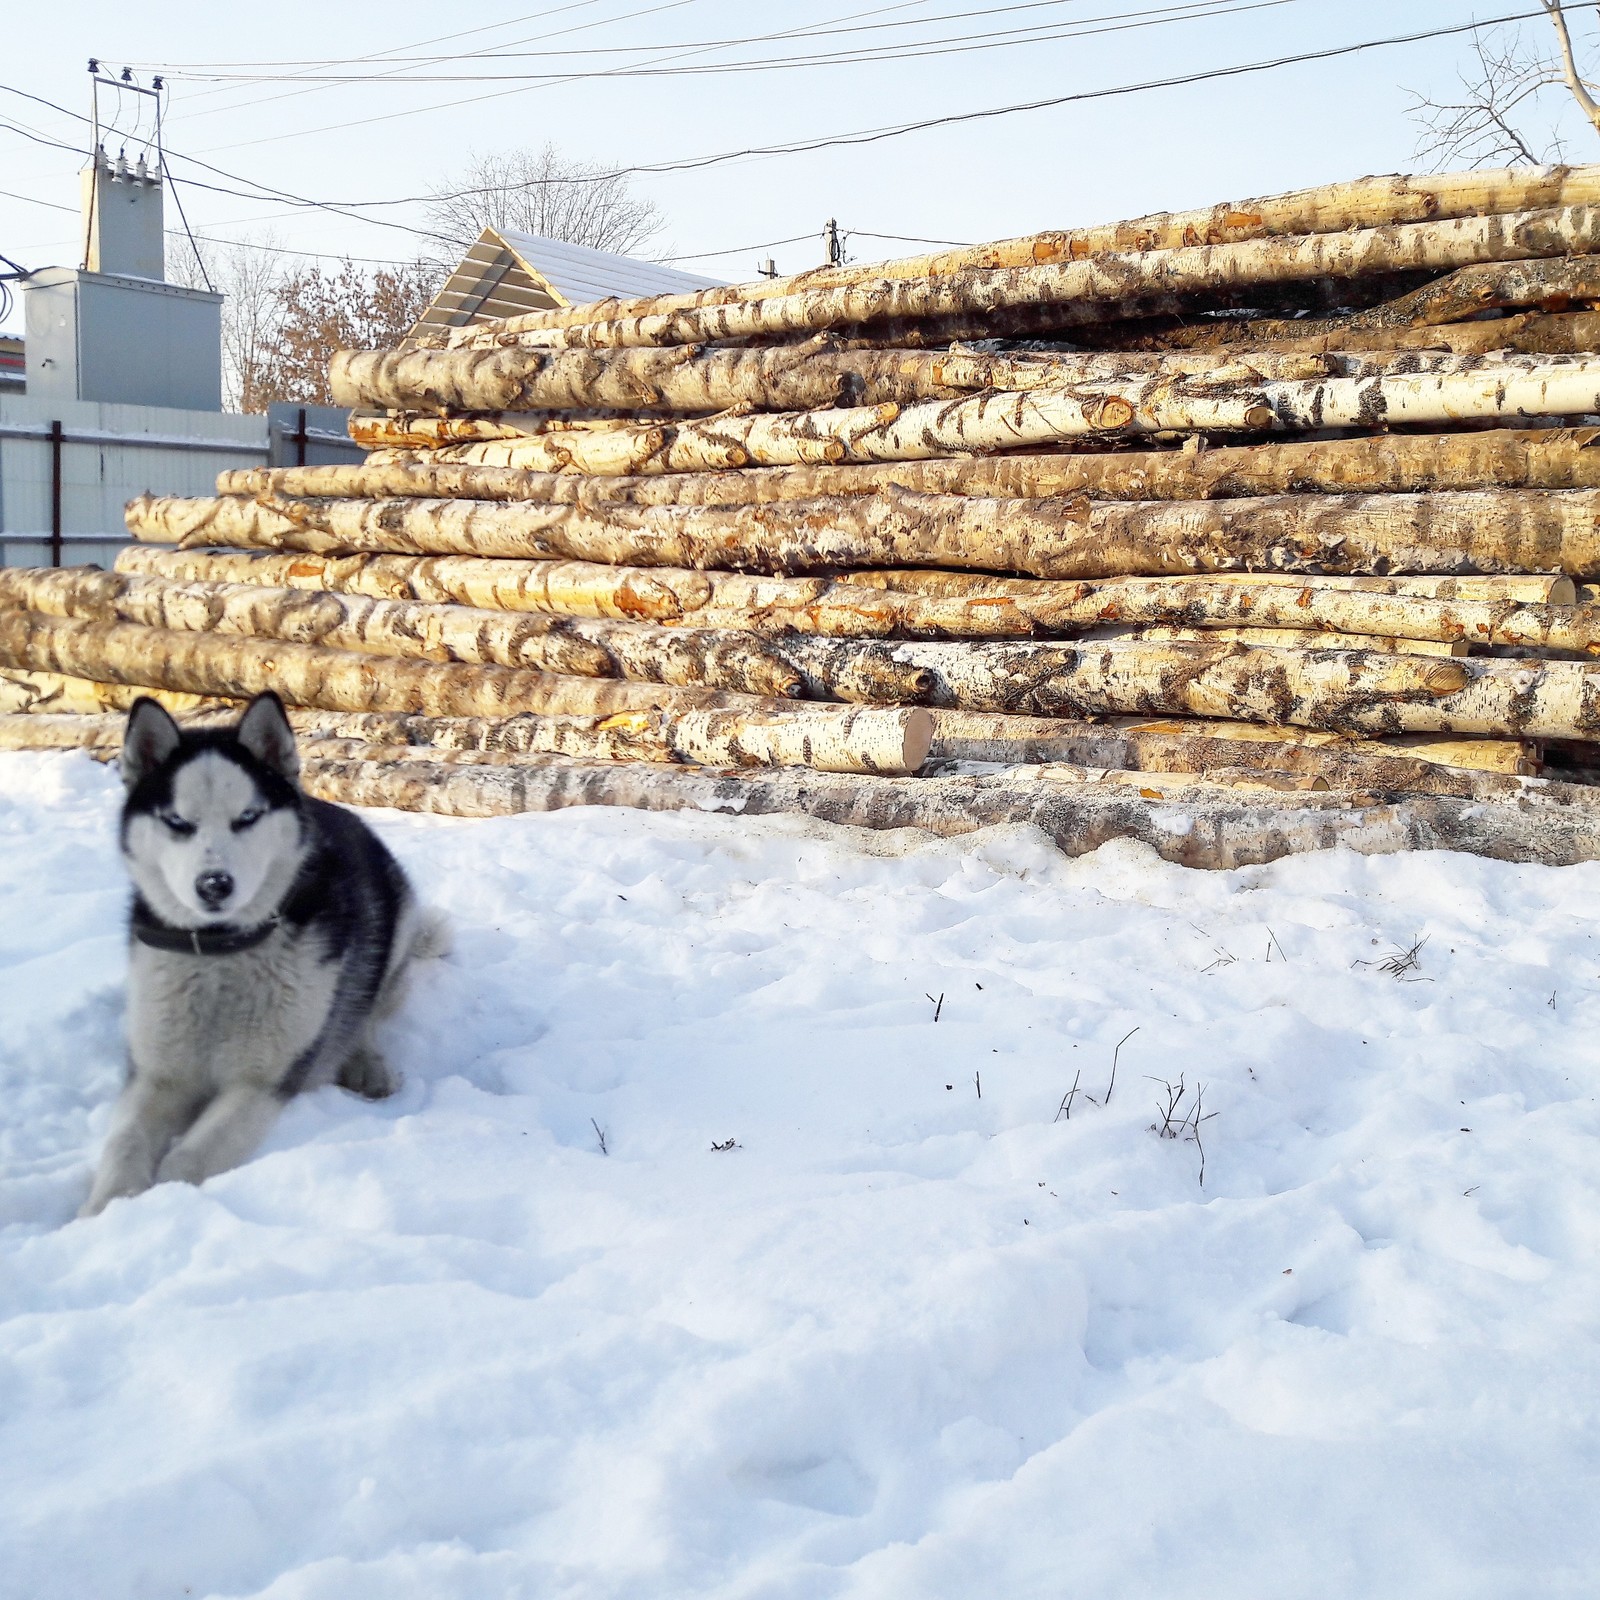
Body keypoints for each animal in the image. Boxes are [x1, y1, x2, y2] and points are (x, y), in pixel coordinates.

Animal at [78, 694, 435, 1216]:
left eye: (247, 817)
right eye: (177, 822)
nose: (214, 884)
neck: (220, 956)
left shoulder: (260, 1085)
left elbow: (186, 1158)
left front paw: (163, 1200)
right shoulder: (156, 1075)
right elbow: (125, 1143)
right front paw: (104, 1212)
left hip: (396, 938)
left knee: (364, 1008)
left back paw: (365, 1063)